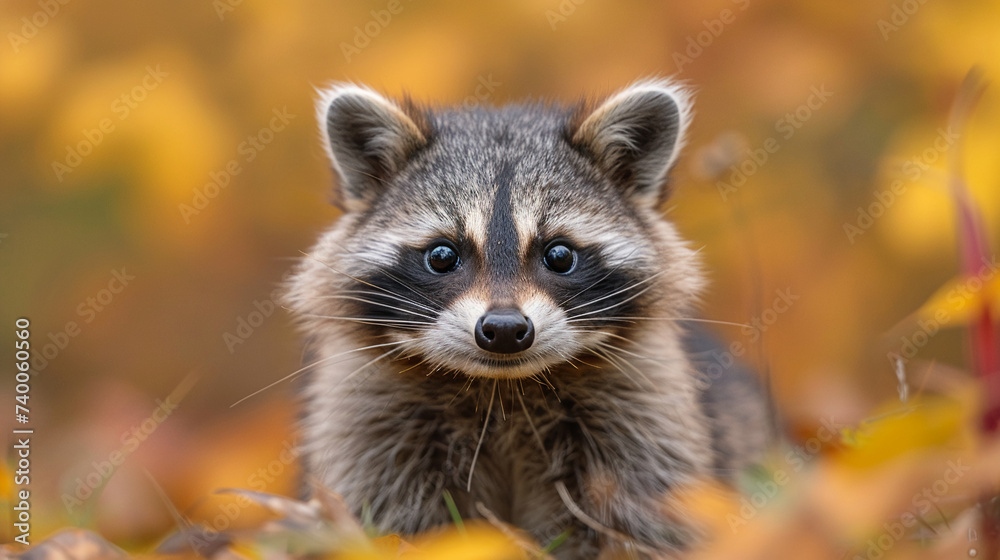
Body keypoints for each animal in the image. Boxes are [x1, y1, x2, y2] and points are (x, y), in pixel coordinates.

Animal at [286, 80, 768, 560]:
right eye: (442, 256)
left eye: (559, 255)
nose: (503, 330)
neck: (502, 391)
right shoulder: (372, 420)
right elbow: (389, 510)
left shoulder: (643, 413)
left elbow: (640, 516)